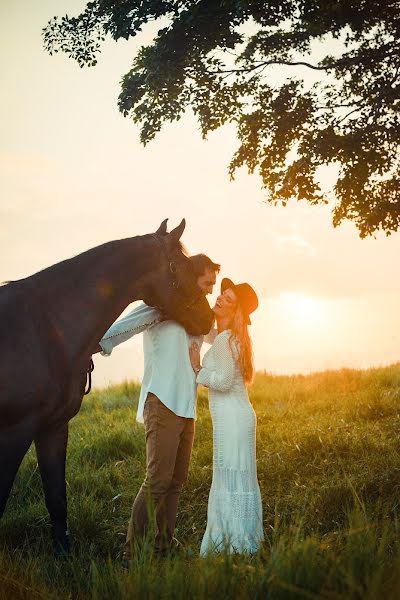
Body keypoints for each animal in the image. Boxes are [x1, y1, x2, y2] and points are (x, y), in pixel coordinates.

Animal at [0, 218, 216, 556]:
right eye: (183, 267)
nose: (208, 319)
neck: (44, 330)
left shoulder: (53, 427)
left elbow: (56, 499)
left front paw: (64, 556)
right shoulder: (14, 431)